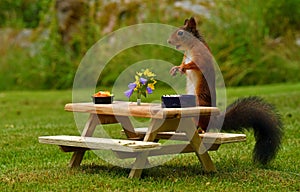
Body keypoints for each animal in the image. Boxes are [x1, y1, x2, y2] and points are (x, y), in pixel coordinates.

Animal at [168, 16, 282, 165]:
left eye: (180, 33)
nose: (169, 41)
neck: (189, 48)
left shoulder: (201, 56)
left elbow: (196, 64)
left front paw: (182, 67)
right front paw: (177, 68)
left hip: (201, 101)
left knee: (204, 125)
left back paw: (201, 130)